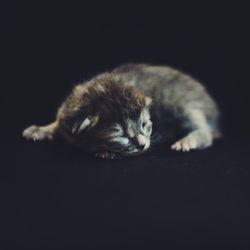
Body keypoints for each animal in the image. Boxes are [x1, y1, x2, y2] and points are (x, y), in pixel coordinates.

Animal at [22, 63, 221, 159]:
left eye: (144, 125)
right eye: (121, 134)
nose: (143, 145)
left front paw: (107, 152)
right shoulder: (65, 113)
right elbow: (56, 124)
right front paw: (39, 130)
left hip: (185, 106)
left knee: (206, 132)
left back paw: (187, 141)